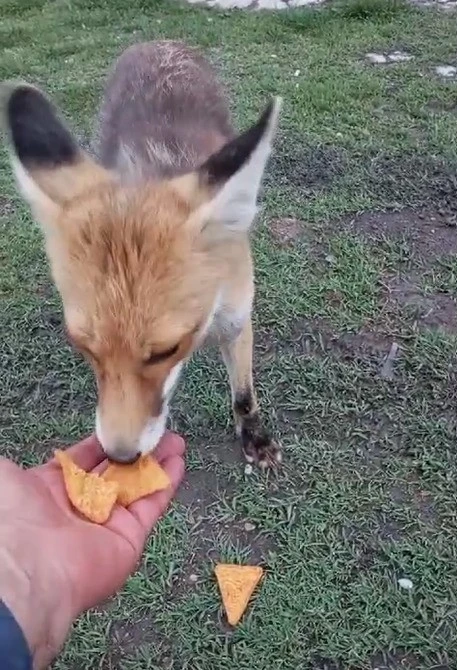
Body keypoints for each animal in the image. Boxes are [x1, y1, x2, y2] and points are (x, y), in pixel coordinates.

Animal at [0, 39, 282, 470]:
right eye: (83, 345)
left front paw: (254, 434)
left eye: (165, 351)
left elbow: (243, 393)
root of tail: (160, 42)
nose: (119, 457)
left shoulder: (236, 314)